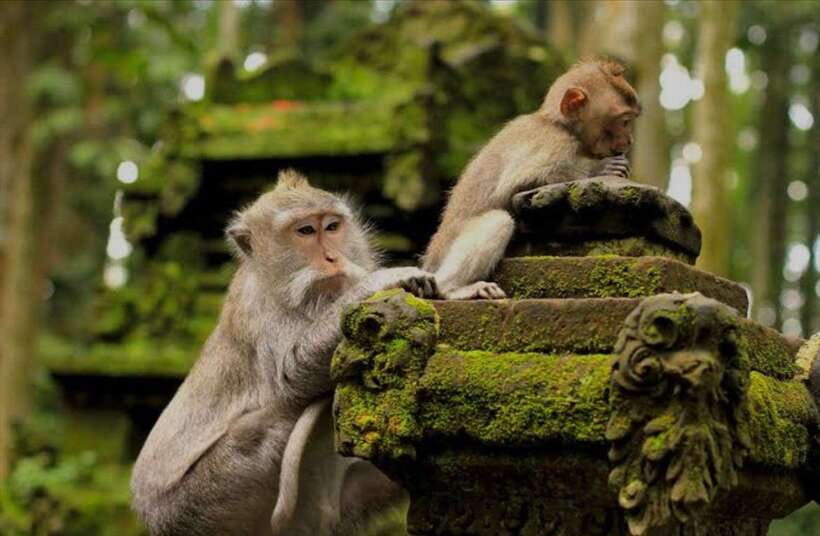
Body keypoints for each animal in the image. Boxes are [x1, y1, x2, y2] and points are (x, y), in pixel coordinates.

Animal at [131, 170, 437, 536]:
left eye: (331, 227)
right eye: (305, 231)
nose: (332, 258)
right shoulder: (258, 308)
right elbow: (291, 376)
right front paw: (382, 281)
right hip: (200, 503)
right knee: (267, 424)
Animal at [423, 59, 641, 300]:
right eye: (624, 121)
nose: (629, 140)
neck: (557, 123)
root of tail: (431, 260)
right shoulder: (554, 143)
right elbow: (518, 183)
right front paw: (600, 168)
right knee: (499, 220)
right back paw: (451, 289)